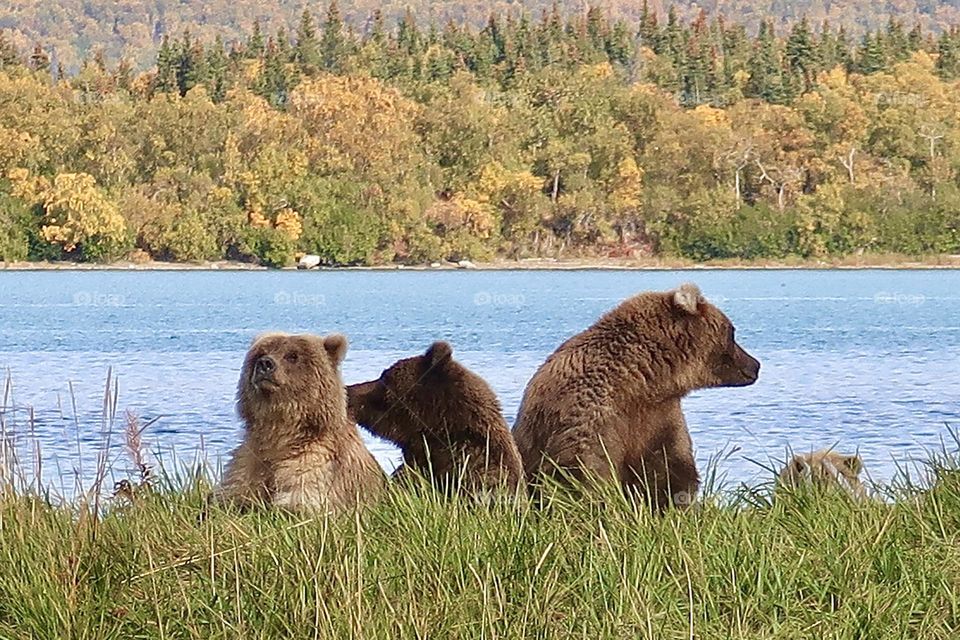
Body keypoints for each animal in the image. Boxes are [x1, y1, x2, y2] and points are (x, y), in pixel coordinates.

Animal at [216, 332, 384, 512]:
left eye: (292, 355)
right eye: (260, 353)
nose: (265, 363)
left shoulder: (316, 462)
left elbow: (299, 501)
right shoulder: (250, 459)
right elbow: (232, 495)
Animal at [512, 284, 760, 510]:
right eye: (732, 332)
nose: (755, 365)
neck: (640, 382)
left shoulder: (659, 415)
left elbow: (669, 466)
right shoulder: (592, 415)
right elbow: (583, 472)